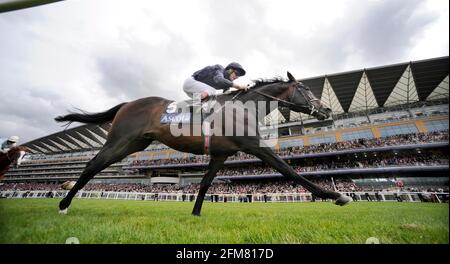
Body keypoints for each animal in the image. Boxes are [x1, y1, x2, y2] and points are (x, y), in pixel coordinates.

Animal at [55, 71, 352, 214]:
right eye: (306, 89)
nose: (326, 110)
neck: (244, 107)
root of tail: (127, 103)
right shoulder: (254, 145)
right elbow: (289, 170)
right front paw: (336, 195)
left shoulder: (221, 155)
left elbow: (205, 184)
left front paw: (195, 215)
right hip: (120, 140)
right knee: (92, 165)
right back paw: (63, 205)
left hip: (133, 144)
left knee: (95, 165)